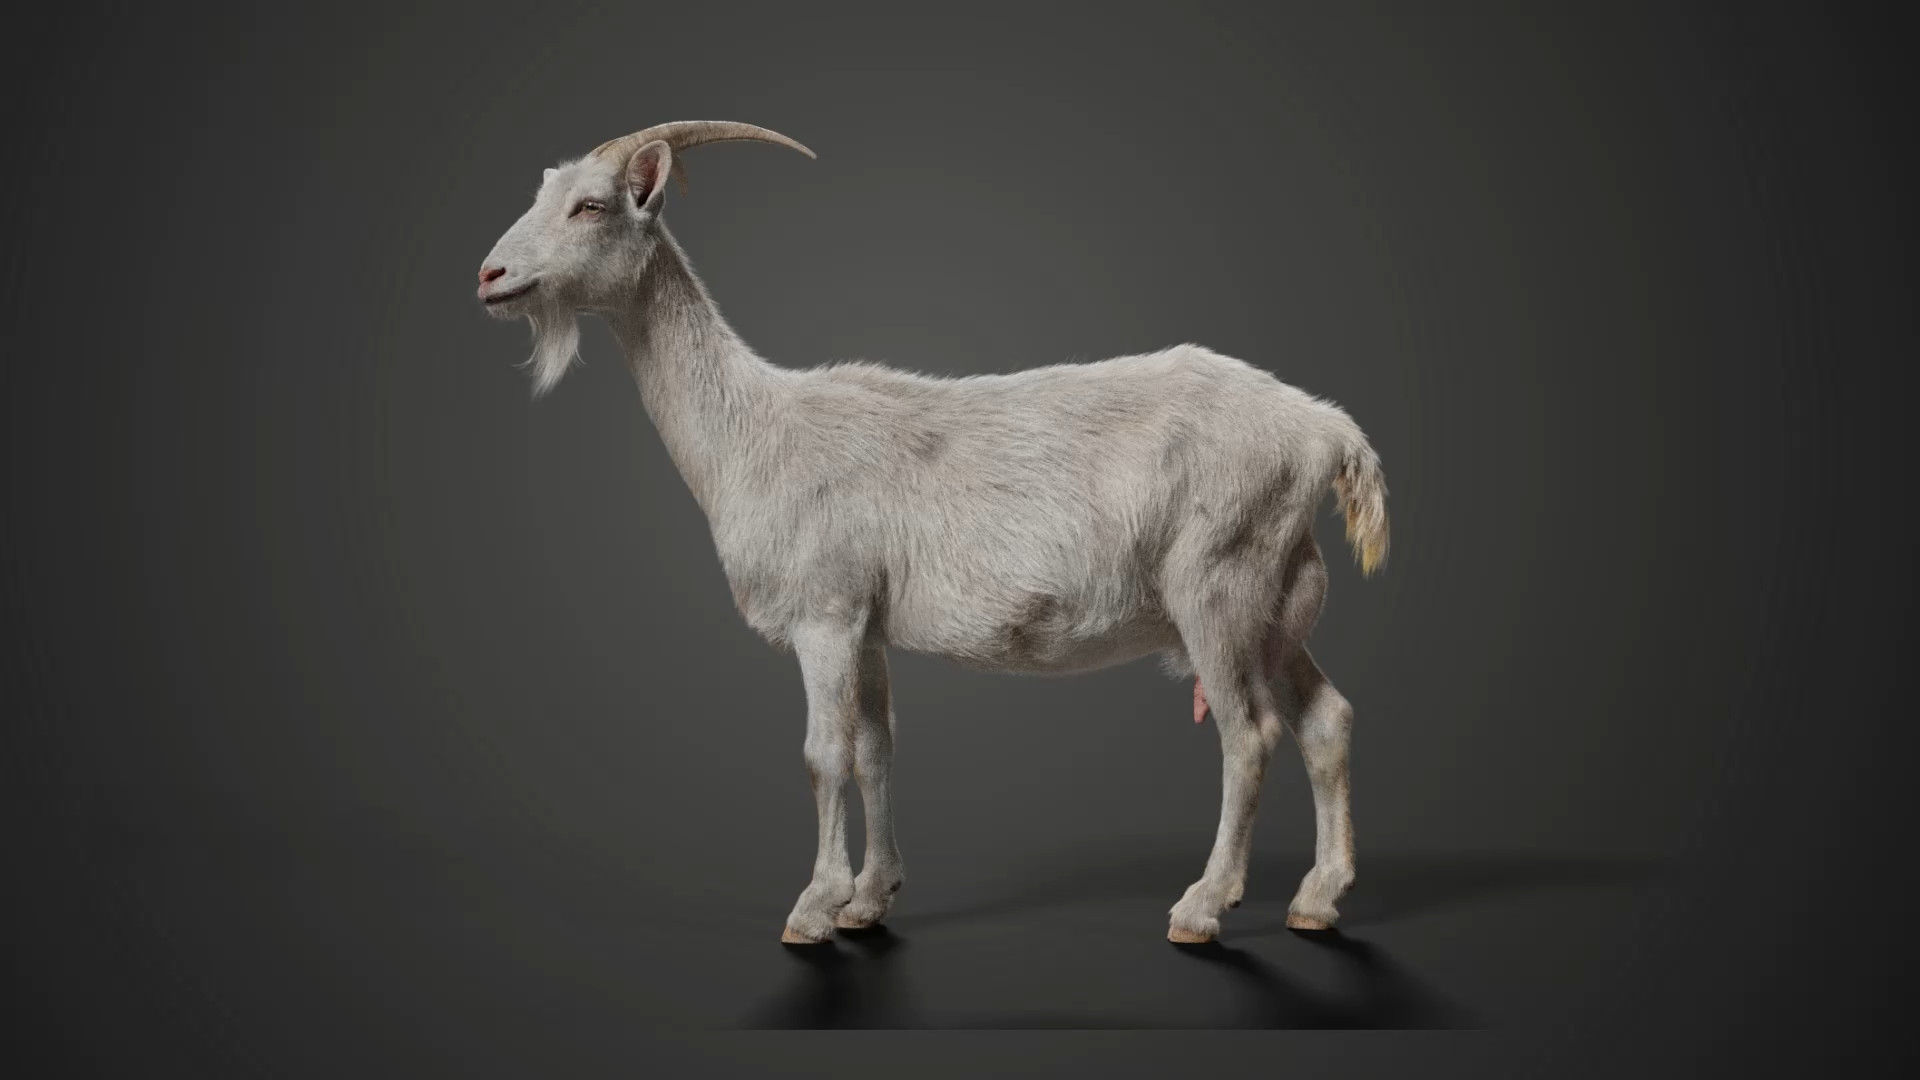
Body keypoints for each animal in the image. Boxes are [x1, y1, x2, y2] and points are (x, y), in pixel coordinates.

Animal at [478, 121, 1390, 945]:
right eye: (542, 194)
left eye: (591, 205)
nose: (489, 275)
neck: (754, 432)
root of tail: (1325, 431)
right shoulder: (869, 624)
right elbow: (877, 748)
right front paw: (869, 898)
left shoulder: (824, 612)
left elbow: (823, 753)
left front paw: (813, 908)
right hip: (1277, 593)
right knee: (1327, 719)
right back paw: (1318, 898)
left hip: (1218, 583)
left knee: (1250, 734)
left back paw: (1203, 907)